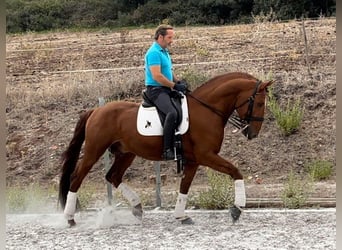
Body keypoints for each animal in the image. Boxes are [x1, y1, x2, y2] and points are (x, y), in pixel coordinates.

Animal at [58, 71, 272, 227]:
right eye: (259, 103)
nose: (253, 134)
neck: (207, 110)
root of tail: (96, 110)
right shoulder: (206, 155)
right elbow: (236, 171)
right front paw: (237, 209)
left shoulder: (194, 160)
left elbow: (185, 187)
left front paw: (180, 216)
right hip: (94, 151)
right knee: (77, 177)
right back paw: (70, 218)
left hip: (127, 153)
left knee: (113, 177)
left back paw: (137, 208)